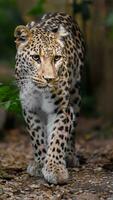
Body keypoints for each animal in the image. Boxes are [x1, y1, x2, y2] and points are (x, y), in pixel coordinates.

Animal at [13, 12, 85, 184]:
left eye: (57, 58)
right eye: (35, 58)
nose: (49, 79)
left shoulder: (62, 109)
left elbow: (58, 137)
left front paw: (55, 168)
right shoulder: (30, 108)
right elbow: (37, 136)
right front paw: (40, 163)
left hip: (75, 95)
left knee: (73, 129)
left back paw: (70, 156)